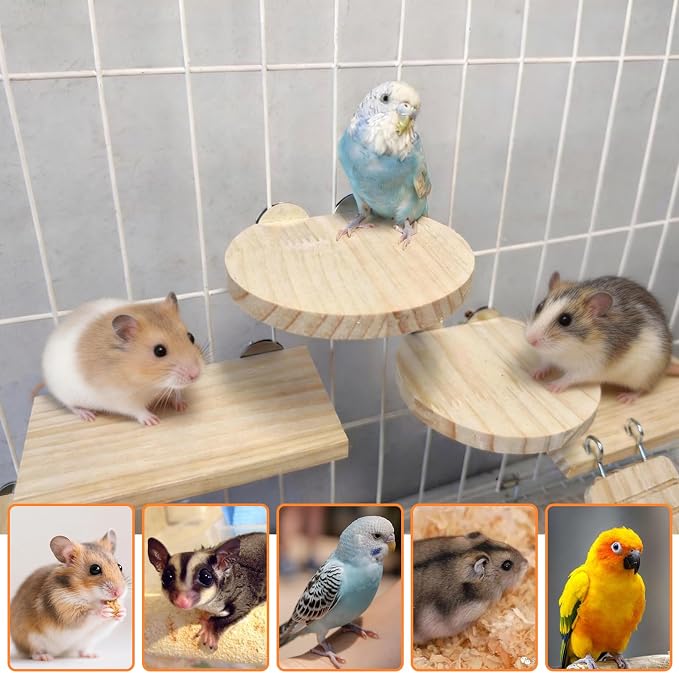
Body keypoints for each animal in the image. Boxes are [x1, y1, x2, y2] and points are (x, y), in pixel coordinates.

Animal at [10, 529, 128, 661]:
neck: (89, 597)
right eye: (95, 569)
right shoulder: (66, 611)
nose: (119, 592)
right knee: (33, 651)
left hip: (85, 642)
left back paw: (92, 655)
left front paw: (122, 612)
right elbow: (88, 615)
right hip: (29, 638)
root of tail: (59, 653)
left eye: (120, 566)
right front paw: (104, 610)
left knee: (82, 650)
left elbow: (110, 621)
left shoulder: (101, 627)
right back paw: (45, 657)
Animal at [42, 292, 203, 425]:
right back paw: (88, 415)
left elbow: (176, 392)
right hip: (66, 394)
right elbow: (138, 410)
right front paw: (153, 421)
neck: (151, 385)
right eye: (159, 351)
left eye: (191, 337)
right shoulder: (122, 400)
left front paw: (182, 405)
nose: (195, 375)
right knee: (71, 406)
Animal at [525, 272, 679, 403]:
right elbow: (545, 363)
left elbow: (569, 377)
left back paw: (627, 397)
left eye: (565, 320)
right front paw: (535, 373)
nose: (529, 340)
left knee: (644, 389)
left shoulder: (589, 366)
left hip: (644, 375)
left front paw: (553, 386)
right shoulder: (548, 356)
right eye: (539, 306)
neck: (565, 349)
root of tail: (666, 366)